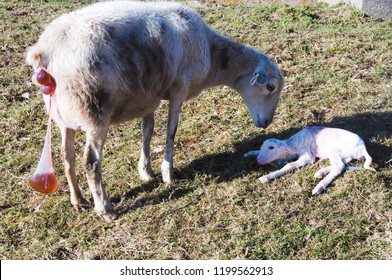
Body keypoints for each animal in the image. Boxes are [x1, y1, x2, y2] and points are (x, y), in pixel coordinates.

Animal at [26, 1, 284, 222]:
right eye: (270, 87)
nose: (266, 123)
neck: (213, 56)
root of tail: (45, 50)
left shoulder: (148, 99)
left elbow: (147, 133)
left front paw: (146, 171)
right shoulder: (179, 91)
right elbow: (171, 132)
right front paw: (168, 174)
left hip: (63, 116)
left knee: (66, 155)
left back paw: (78, 200)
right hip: (94, 112)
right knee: (90, 162)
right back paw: (106, 210)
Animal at [243, 127, 376, 195]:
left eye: (271, 147)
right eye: (262, 146)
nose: (259, 160)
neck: (294, 143)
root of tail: (362, 146)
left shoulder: (307, 155)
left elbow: (290, 165)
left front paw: (267, 177)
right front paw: (249, 153)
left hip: (334, 149)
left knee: (339, 166)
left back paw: (319, 187)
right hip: (343, 153)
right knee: (343, 163)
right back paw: (320, 172)